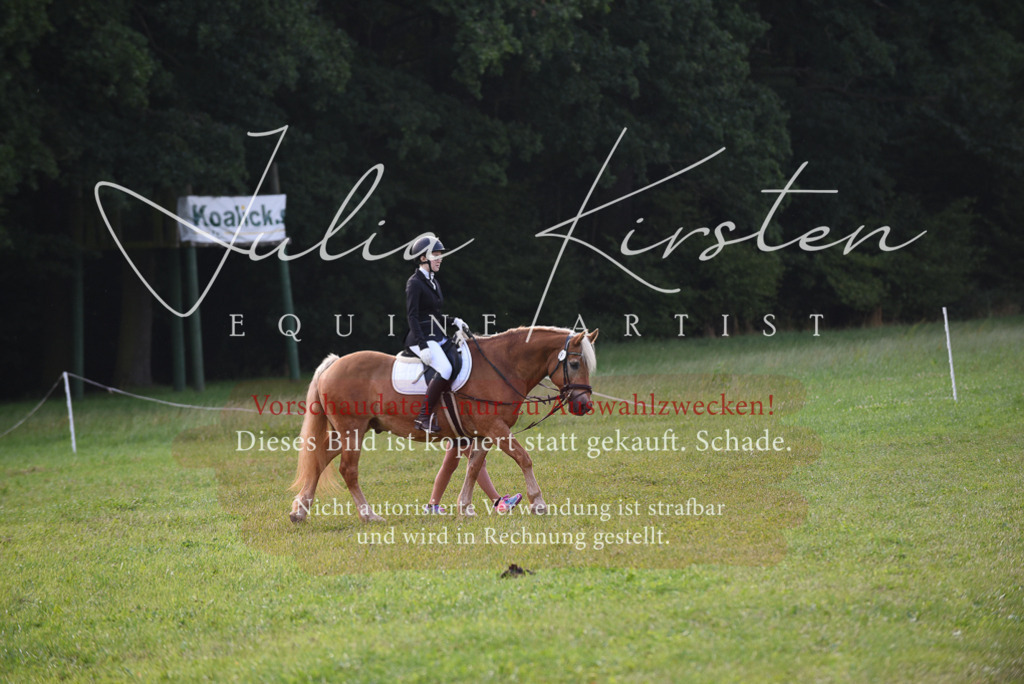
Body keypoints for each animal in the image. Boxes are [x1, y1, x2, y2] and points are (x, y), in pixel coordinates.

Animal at [289, 326, 599, 523]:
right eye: (574, 365)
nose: (584, 405)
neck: (501, 366)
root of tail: (334, 364)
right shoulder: (496, 429)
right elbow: (524, 458)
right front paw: (539, 503)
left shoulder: (483, 433)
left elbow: (474, 467)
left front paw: (465, 507)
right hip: (352, 430)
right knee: (348, 470)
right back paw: (369, 515)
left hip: (347, 433)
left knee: (320, 461)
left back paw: (299, 512)